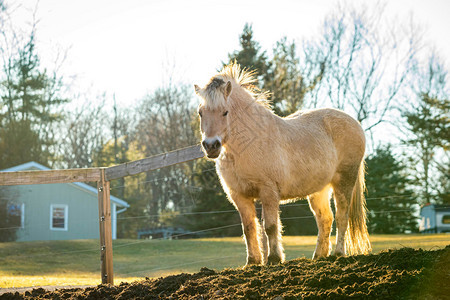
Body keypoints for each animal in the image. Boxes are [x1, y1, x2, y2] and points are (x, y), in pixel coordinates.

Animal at [193, 63, 370, 264]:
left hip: (344, 181)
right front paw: (252, 262)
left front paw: (274, 259)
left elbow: (270, 226)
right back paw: (318, 256)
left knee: (342, 216)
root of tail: (355, 123)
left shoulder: (269, 192)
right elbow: (249, 228)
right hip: (319, 190)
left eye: (225, 112)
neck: (250, 143)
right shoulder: (239, 196)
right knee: (325, 219)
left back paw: (338, 253)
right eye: (200, 113)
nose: (211, 145)